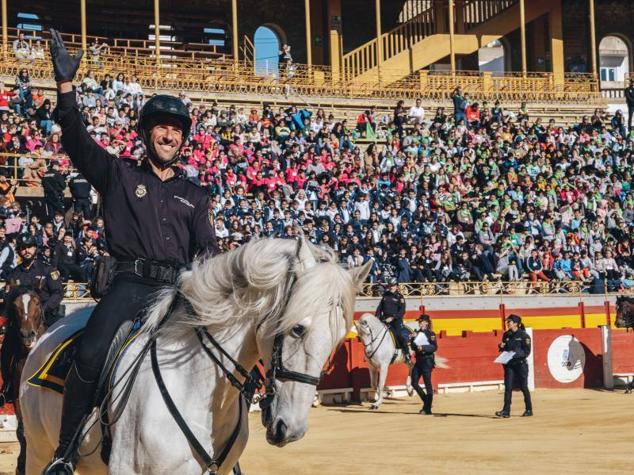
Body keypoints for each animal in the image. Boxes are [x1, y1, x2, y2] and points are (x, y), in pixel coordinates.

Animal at [21, 240, 370, 474]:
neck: (195, 386)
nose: (291, 428)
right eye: (297, 329)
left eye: (338, 339)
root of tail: (53, 329)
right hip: (39, 450)